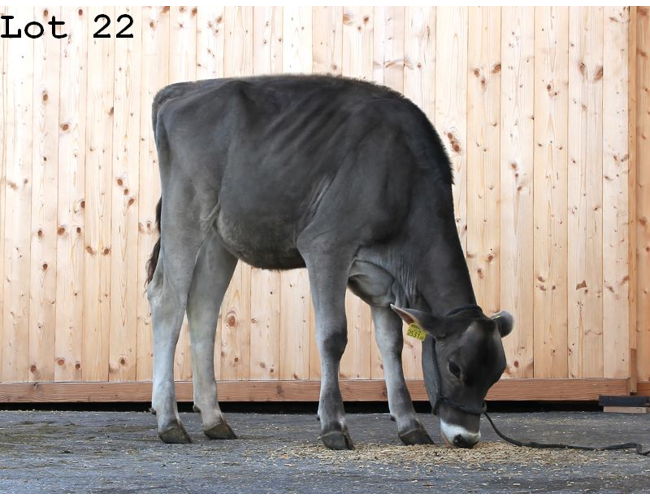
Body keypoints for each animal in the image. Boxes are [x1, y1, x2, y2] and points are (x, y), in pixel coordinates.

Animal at [146, 74, 513, 450]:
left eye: (497, 373)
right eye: (454, 367)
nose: (466, 436)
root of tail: (182, 89)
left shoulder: (384, 283)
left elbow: (391, 345)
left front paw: (409, 425)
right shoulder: (327, 246)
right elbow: (333, 336)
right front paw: (334, 425)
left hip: (218, 238)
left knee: (203, 308)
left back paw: (215, 420)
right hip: (186, 210)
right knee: (167, 300)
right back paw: (170, 422)